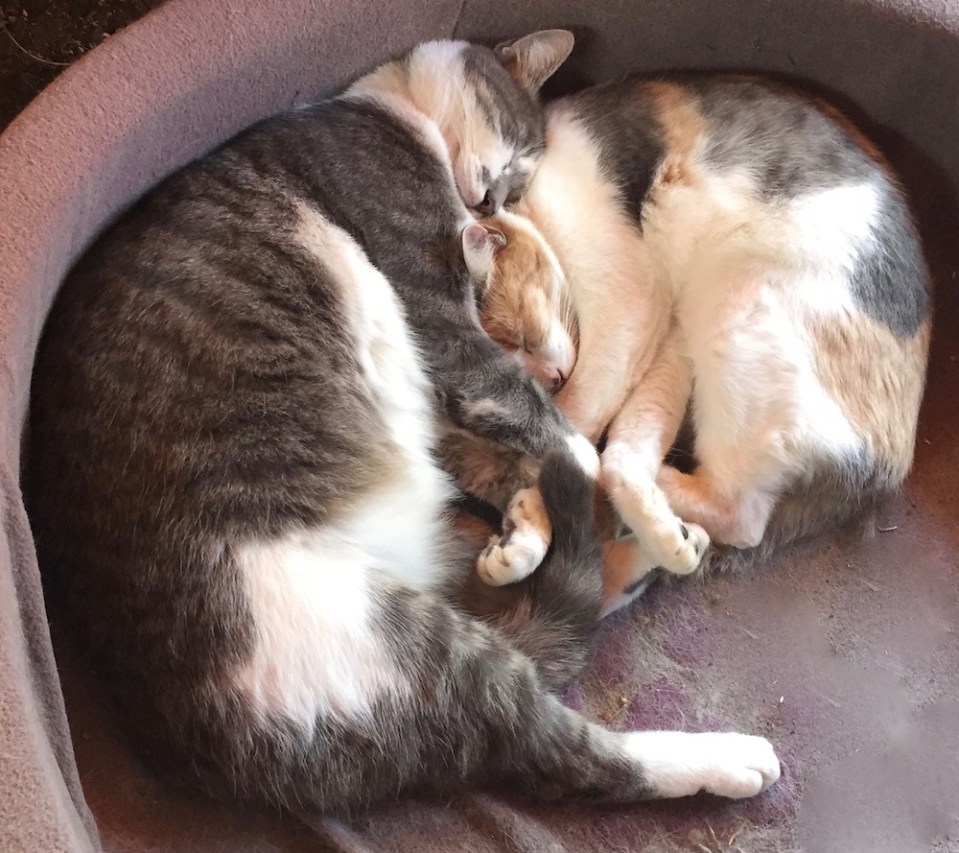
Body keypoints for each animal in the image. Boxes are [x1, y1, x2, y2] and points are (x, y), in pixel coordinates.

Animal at [26, 34, 780, 816]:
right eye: (518, 154)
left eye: (520, 180)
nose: (493, 200)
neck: (389, 109)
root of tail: (204, 749)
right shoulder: (438, 314)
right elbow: (550, 427)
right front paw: (596, 491)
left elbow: (512, 444)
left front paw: (529, 528)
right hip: (388, 641)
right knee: (554, 746)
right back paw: (730, 754)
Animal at [469, 75, 931, 612]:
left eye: (522, 334)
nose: (551, 378)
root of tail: (886, 473)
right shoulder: (670, 341)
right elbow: (622, 441)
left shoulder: (631, 300)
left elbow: (576, 418)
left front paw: (533, 502)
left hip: (735, 301)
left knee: (741, 516)